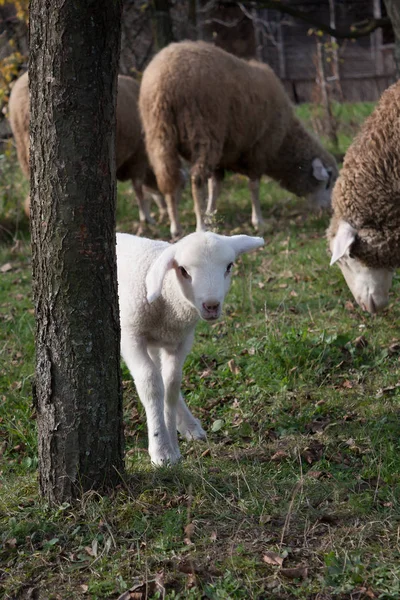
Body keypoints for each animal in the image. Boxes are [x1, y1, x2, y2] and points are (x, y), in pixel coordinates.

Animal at [117, 230, 264, 464]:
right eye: (184, 270)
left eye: (229, 266)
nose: (211, 306)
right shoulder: (131, 336)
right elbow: (151, 384)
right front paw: (161, 449)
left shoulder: (180, 341)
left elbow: (171, 385)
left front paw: (172, 447)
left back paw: (190, 426)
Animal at [138, 39, 338, 237]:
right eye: (328, 183)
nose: (330, 211)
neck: (283, 143)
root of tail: (163, 80)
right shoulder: (259, 151)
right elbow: (253, 187)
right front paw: (258, 222)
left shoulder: (222, 159)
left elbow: (215, 187)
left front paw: (211, 216)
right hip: (204, 133)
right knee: (196, 180)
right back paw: (199, 227)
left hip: (159, 135)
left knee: (168, 179)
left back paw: (176, 228)